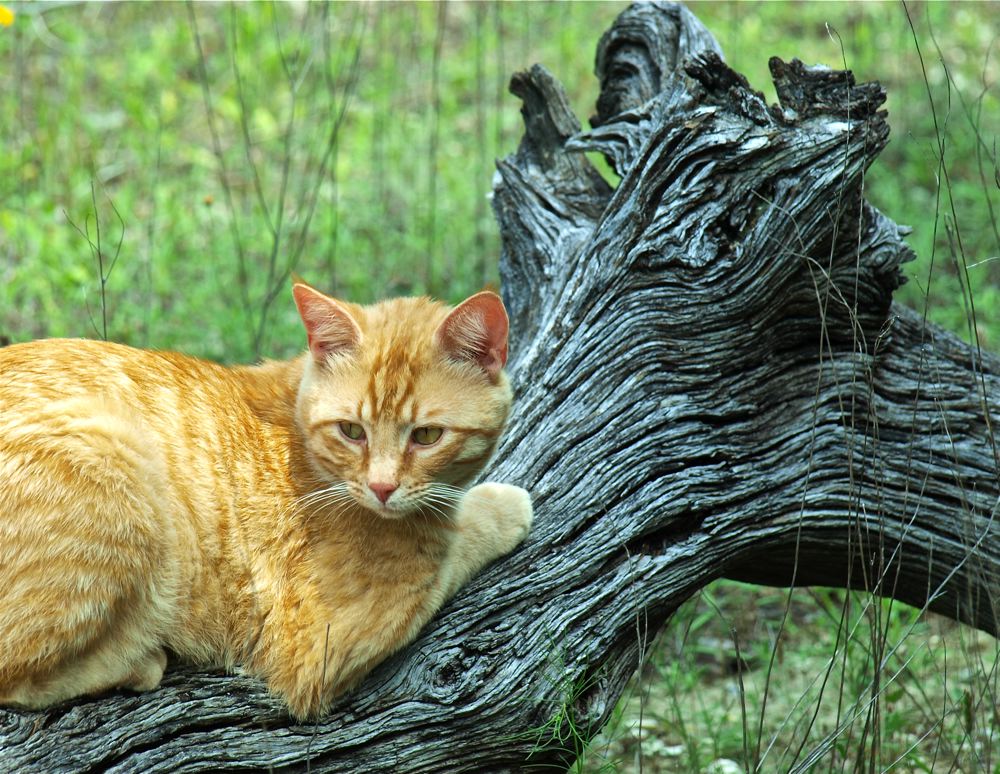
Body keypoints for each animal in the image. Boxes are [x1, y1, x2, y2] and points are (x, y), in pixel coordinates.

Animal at [0, 284, 532, 720]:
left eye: (425, 436)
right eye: (352, 431)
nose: (382, 488)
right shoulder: (335, 635)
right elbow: (460, 537)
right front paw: (501, 505)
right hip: (113, 449)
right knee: (17, 677)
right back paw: (140, 659)